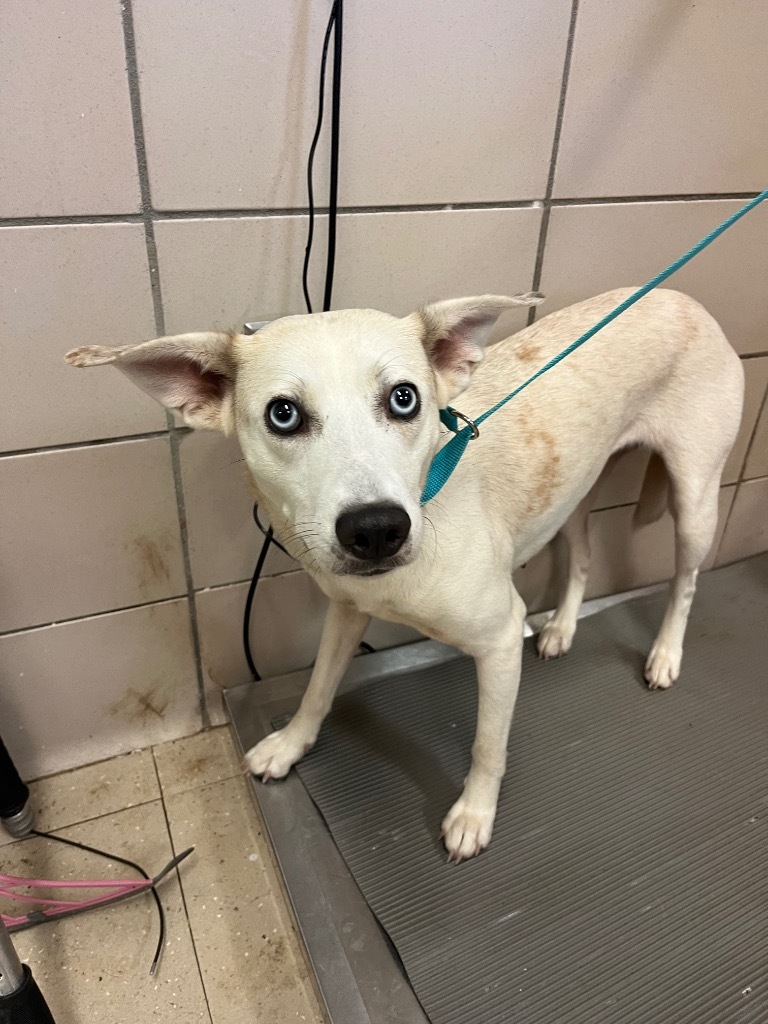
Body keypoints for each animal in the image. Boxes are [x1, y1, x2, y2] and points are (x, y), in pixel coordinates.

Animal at [67, 288, 745, 864]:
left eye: (404, 398)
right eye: (283, 414)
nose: (375, 529)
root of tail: (680, 297)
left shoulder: (501, 639)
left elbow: (488, 744)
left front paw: (474, 815)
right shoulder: (345, 610)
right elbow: (317, 688)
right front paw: (290, 745)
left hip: (694, 500)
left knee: (686, 582)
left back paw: (664, 656)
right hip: (573, 494)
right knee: (580, 557)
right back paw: (562, 629)